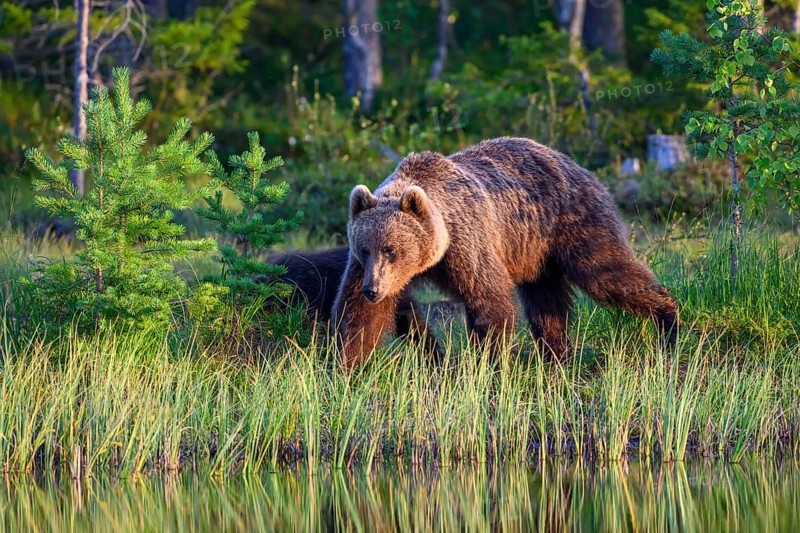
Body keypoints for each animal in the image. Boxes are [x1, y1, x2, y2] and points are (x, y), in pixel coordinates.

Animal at [332, 136, 678, 370]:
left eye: (391, 249)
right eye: (365, 248)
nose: (372, 289)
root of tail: (570, 161)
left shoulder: (468, 244)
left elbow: (490, 302)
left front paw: (488, 363)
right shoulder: (367, 270)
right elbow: (358, 315)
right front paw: (347, 367)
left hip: (575, 220)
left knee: (606, 272)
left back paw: (668, 319)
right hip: (536, 254)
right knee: (547, 303)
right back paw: (556, 354)